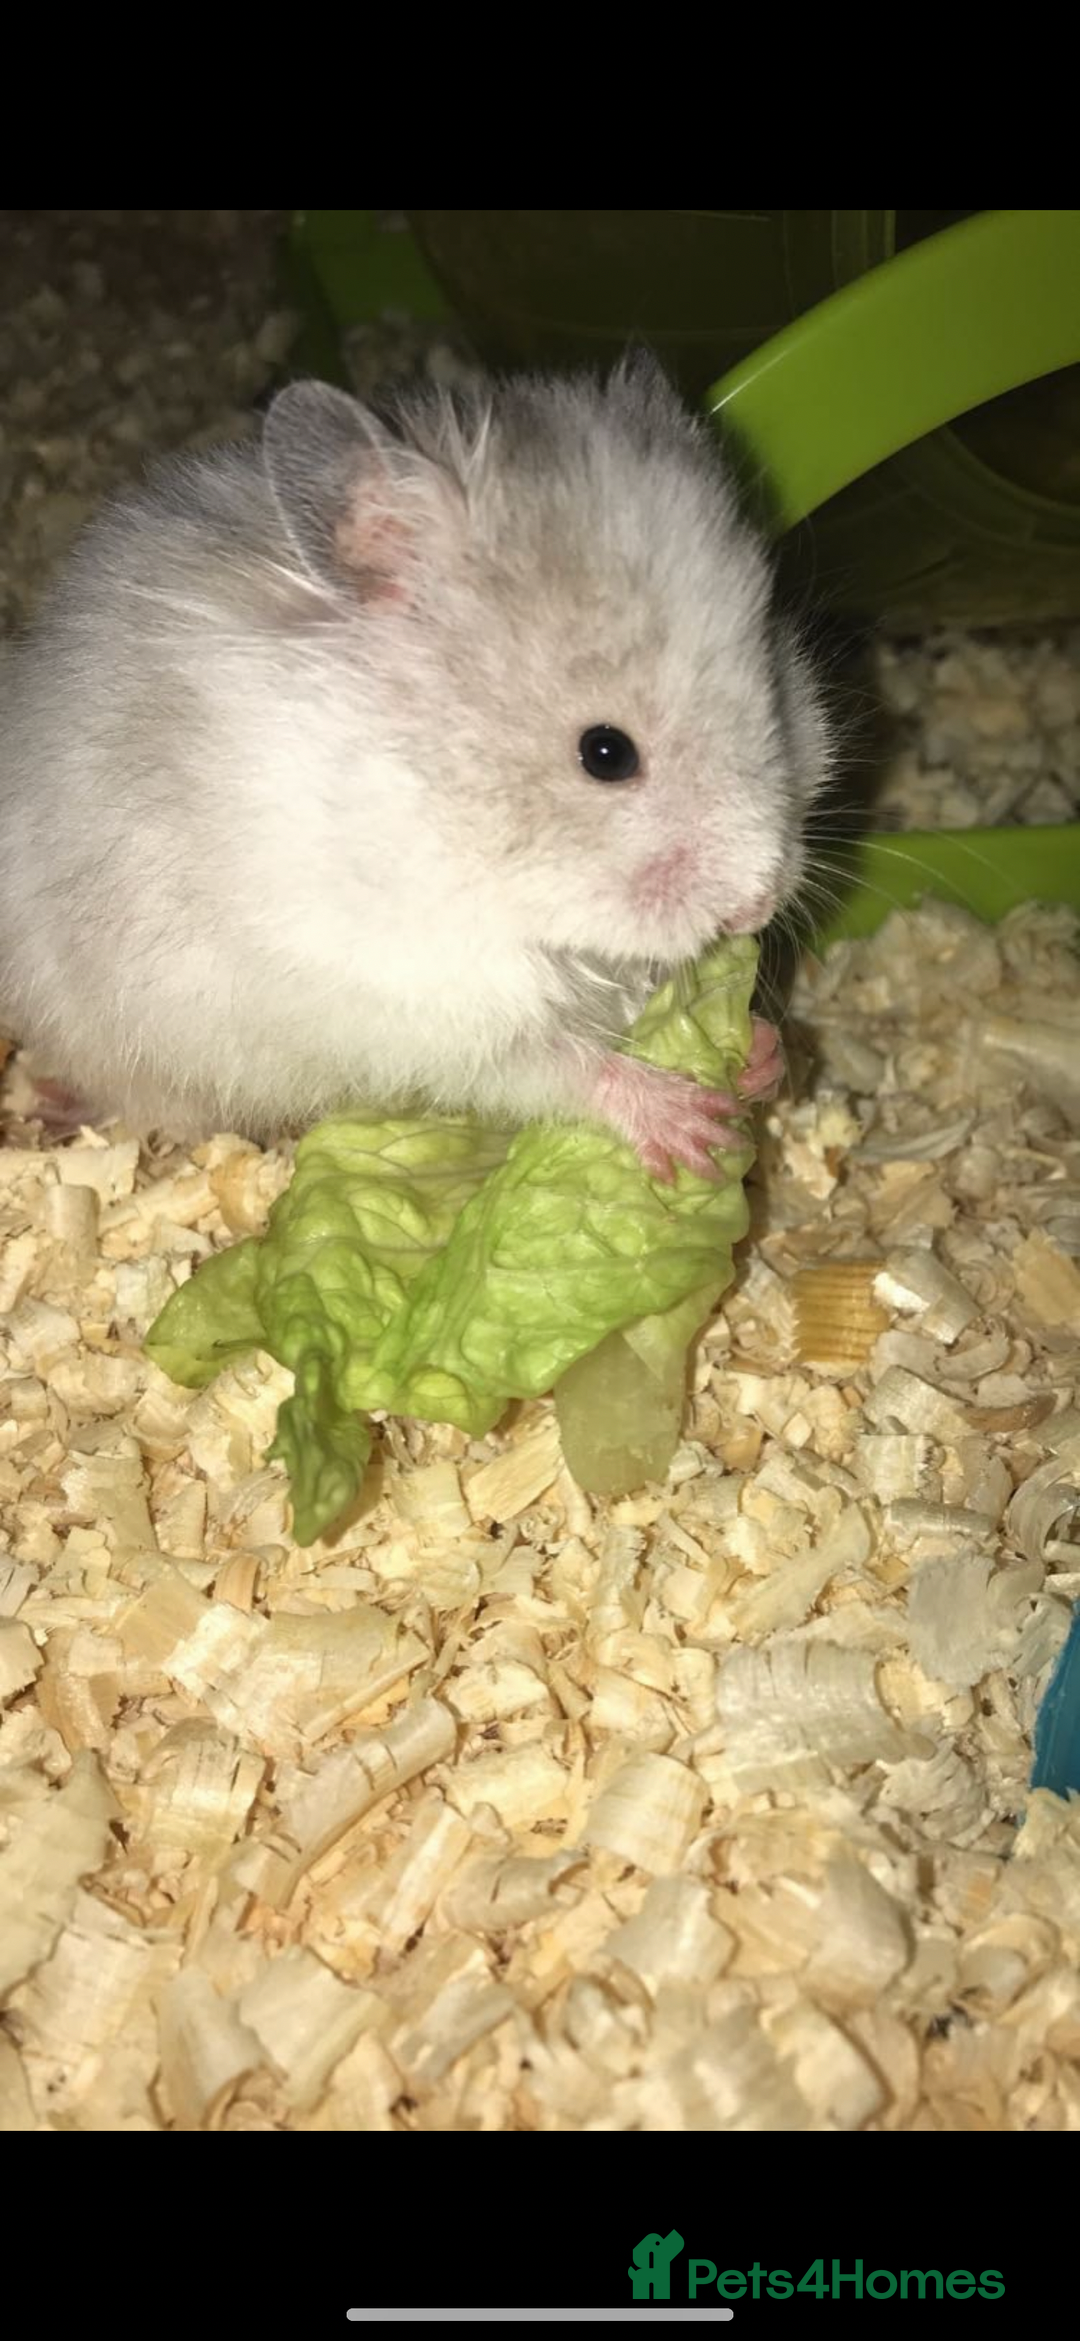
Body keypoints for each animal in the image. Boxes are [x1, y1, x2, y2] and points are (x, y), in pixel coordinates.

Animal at [0, 355, 829, 1178]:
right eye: (606, 753)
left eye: (776, 687)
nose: (756, 906)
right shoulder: (415, 995)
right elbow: (551, 1063)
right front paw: (696, 1128)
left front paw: (760, 1055)